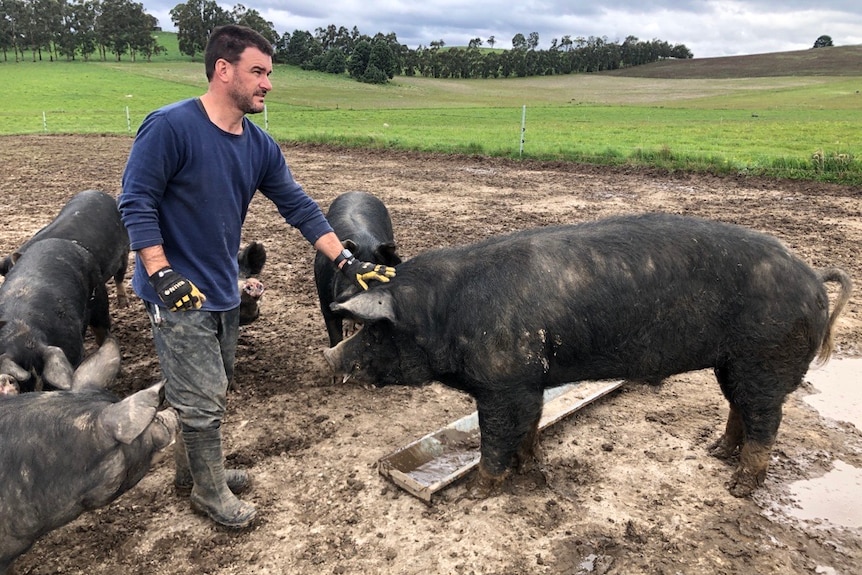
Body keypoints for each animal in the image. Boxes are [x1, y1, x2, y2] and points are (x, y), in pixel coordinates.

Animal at [326, 214, 856, 498]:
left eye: (373, 331)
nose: (332, 356)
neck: (444, 314)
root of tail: (813, 276)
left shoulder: (503, 382)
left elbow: (495, 437)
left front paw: (481, 488)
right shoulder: (528, 381)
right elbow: (528, 426)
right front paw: (531, 469)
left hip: (765, 357)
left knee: (766, 419)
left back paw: (739, 487)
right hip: (734, 362)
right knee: (739, 408)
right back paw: (715, 453)